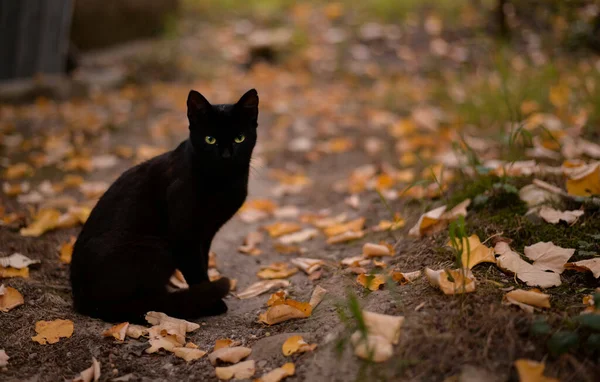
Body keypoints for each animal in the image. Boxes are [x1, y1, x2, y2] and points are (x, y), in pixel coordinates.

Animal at [70, 89, 258, 322]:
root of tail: (82, 299)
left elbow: (202, 264)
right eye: (210, 139)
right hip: (157, 248)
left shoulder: (205, 234)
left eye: (239, 138)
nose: (225, 156)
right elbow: (196, 271)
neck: (223, 183)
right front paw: (211, 302)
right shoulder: (184, 235)